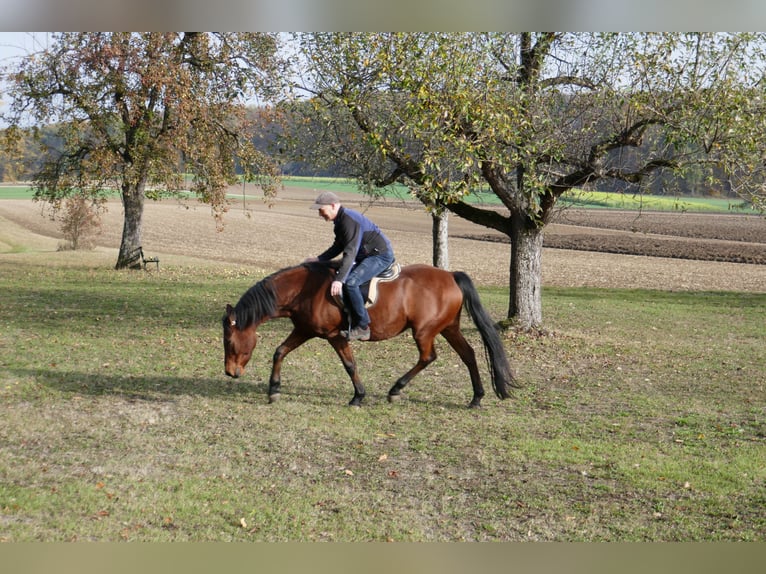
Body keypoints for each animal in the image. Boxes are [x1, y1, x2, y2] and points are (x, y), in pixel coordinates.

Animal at [222, 262, 520, 410]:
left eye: (229, 341)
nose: (229, 372)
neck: (304, 290)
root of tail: (449, 275)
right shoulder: (304, 330)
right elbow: (280, 351)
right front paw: (274, 390)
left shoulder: (335, 336)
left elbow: (349, 365)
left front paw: (358, 397)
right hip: (449, 328)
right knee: (468, 355)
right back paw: (477, 397)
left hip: (424, 331)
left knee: (428, 357)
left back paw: (396, 389)